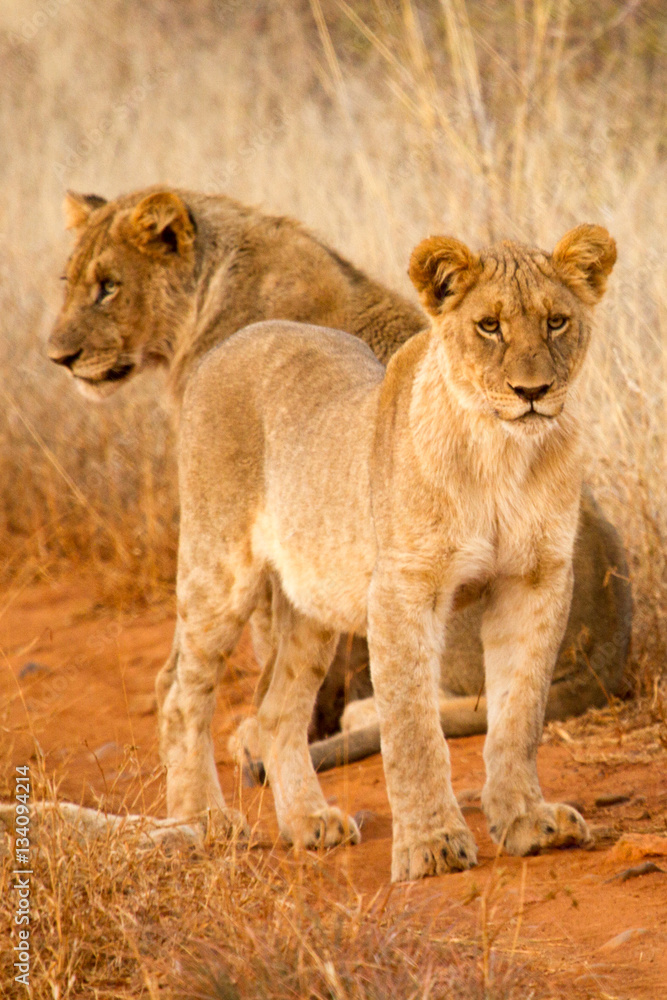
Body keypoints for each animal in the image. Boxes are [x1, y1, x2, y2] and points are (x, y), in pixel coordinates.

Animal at [47, 188, 630, 768]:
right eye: (69, 281)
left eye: (108, 287)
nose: (60, 357)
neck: (205, 303)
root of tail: (607, 661)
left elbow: (267, 642)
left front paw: (258, 732)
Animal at [164, 225, 617, 880]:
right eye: (489, 326)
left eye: (557, 322)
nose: (532, 391)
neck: (502, 452)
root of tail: (228, 344)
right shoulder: (405, 589)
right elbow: (411, 727)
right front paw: (432, 845)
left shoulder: (535, 581)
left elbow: (519, 712)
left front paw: (528, 822)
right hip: (217, 569)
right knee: (182, 695)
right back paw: (202, 819)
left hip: (313, 602)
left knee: (277, 713)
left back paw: (308, 822)